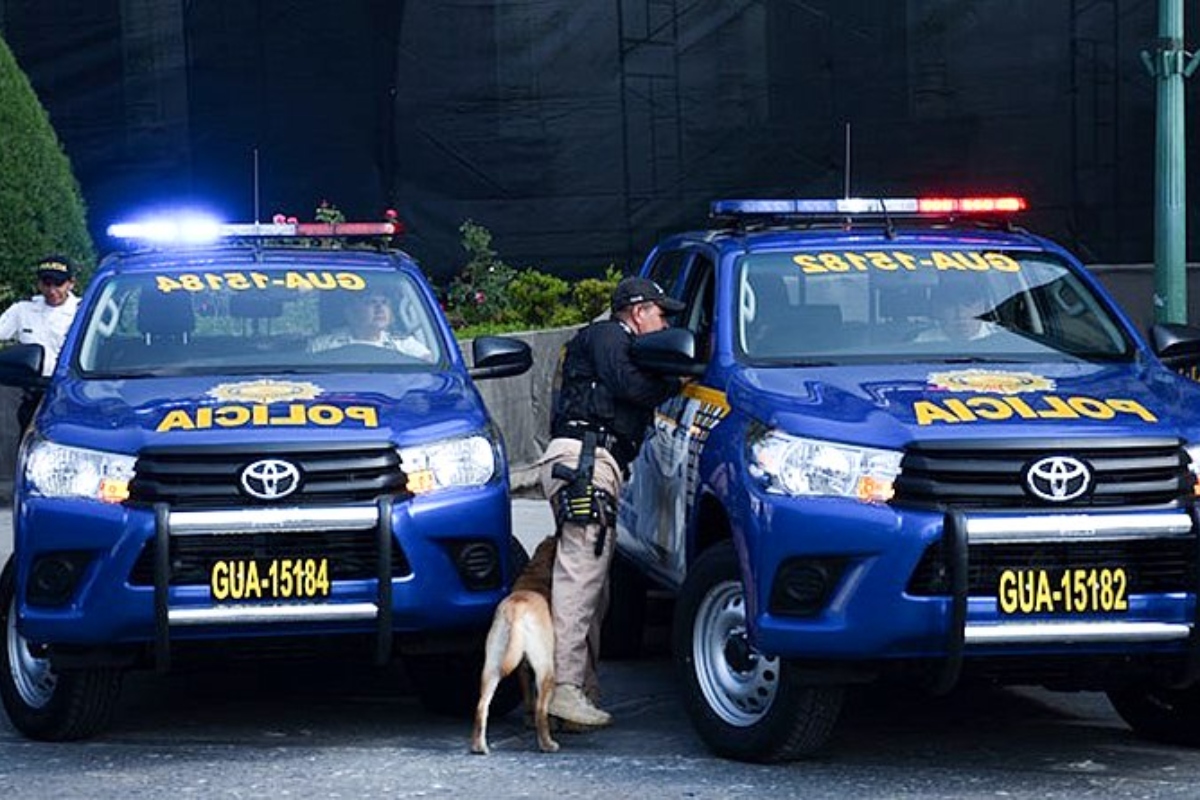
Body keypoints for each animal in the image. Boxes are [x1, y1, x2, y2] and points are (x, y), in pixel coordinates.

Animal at [470, 537, 559, 758]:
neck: (538, 570)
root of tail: (516, 607)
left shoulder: (522, 669)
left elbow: (527, 697)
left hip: (491, 667)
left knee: (481, 707)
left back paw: (479, 746)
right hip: (546, 669)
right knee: (541, 710)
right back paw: (547, 744)